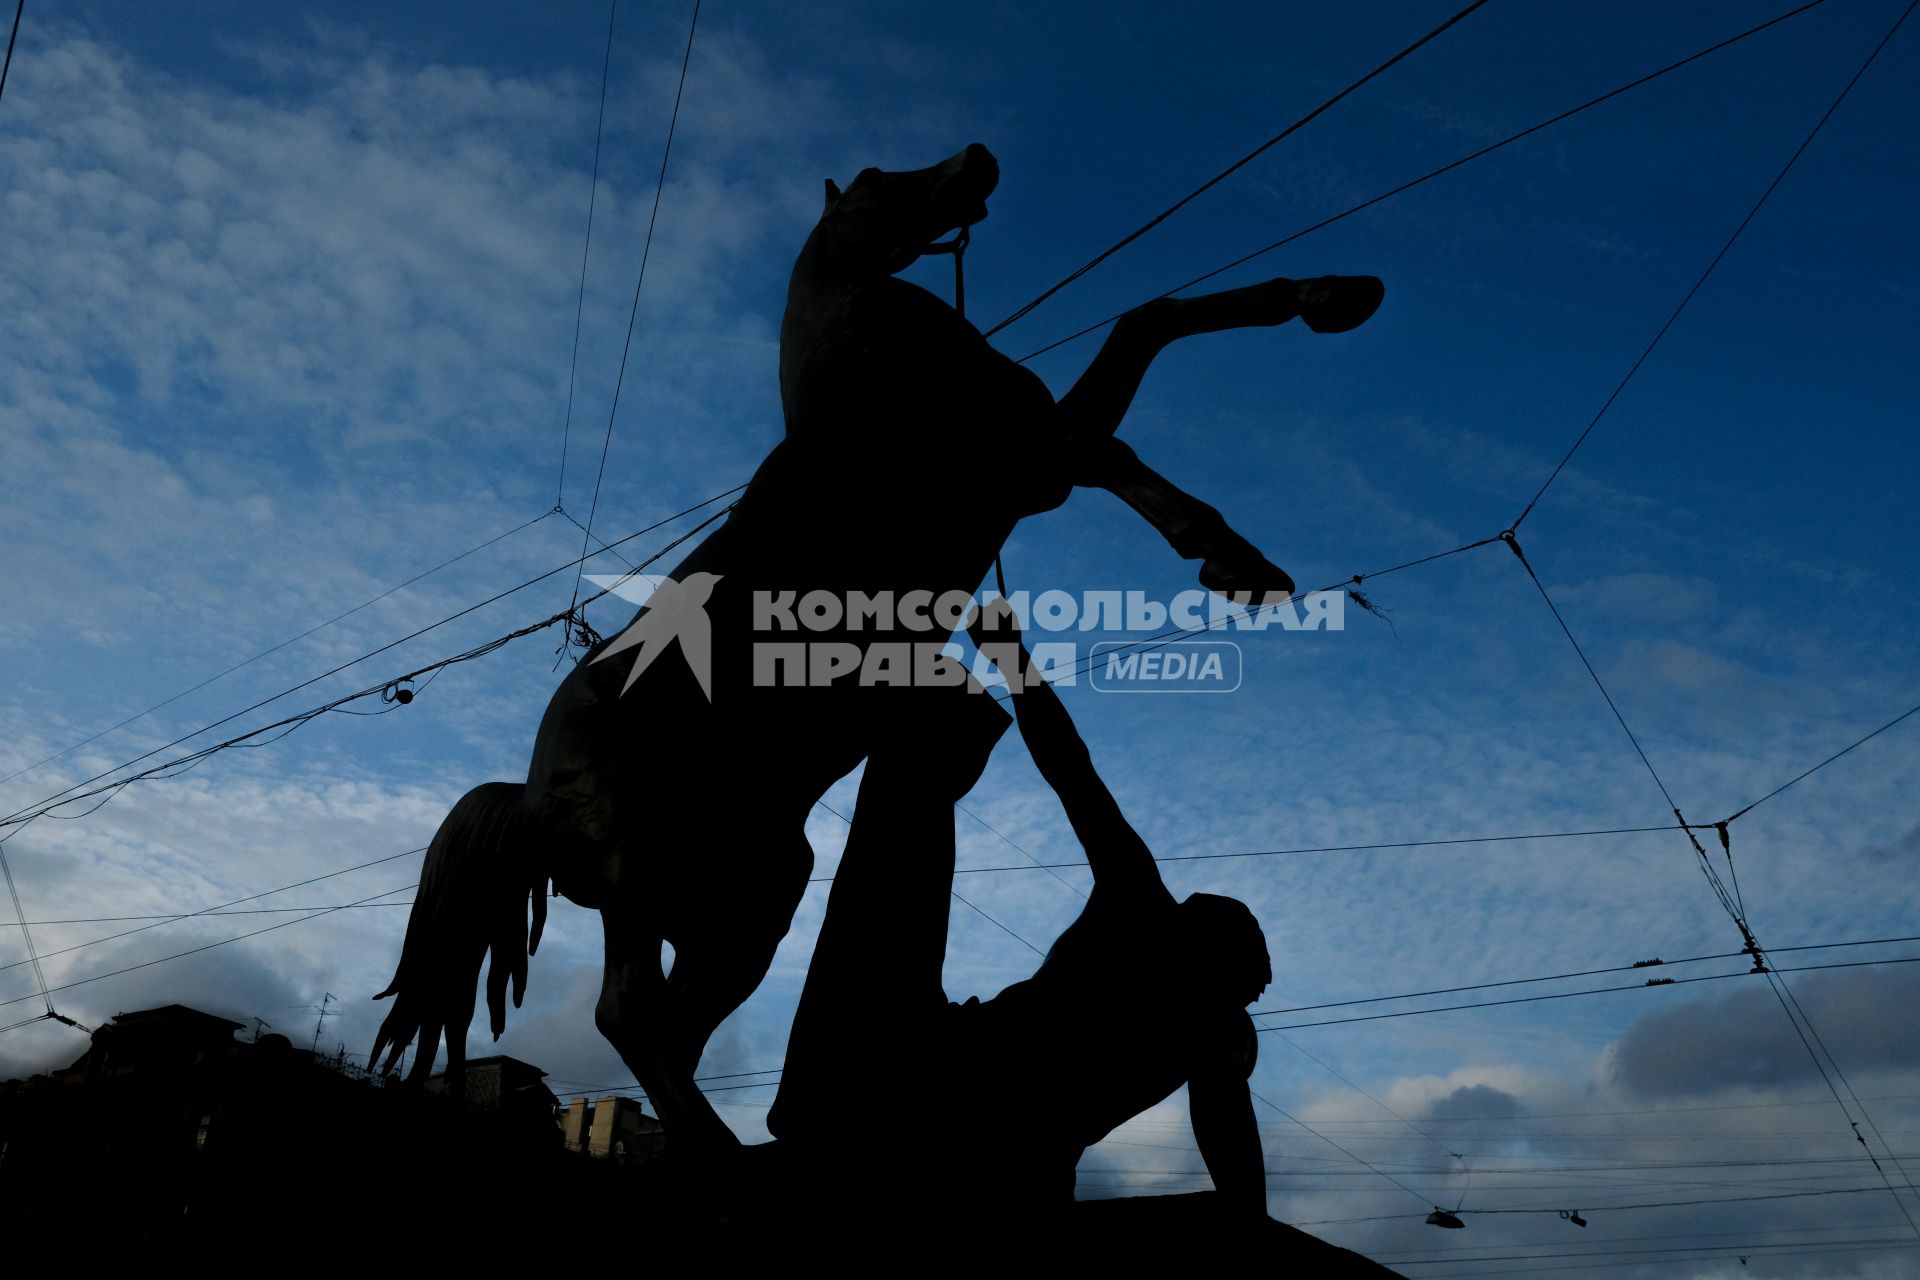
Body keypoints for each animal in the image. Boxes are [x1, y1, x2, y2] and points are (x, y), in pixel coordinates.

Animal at [366, 144, 1382, 1143]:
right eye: (872, 183)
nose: (977, 158)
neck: (863, 373)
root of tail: (530, 800)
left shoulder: (1036, 457)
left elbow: (1151, 324)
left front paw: (1337, 299)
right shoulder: (1029, 457)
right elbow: (1123, 409)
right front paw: (1228, 555)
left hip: (750, 891)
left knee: (679, 1027)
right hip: (639, 881)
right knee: (628, 1012)